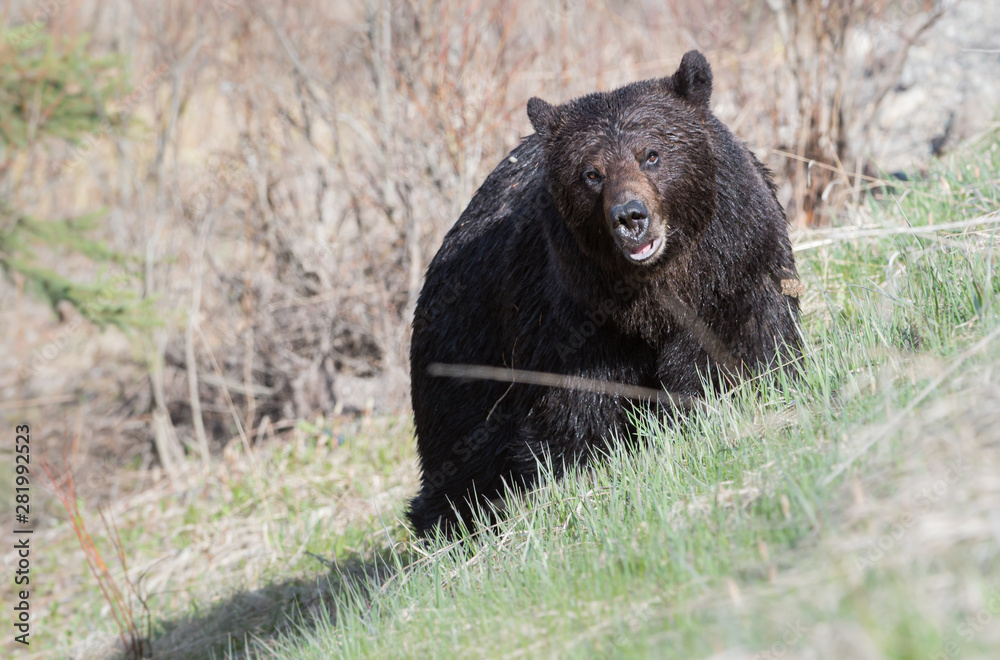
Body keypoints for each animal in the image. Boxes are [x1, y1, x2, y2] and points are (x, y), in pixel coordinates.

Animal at [406, 50, 796, 536]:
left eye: (652, 154)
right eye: (591, 173)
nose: (629, 216)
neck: (650, 299)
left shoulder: (733, 277)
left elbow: (737, 357)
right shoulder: (568, 321)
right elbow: (575, 415)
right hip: (461, 359)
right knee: (461, 457)